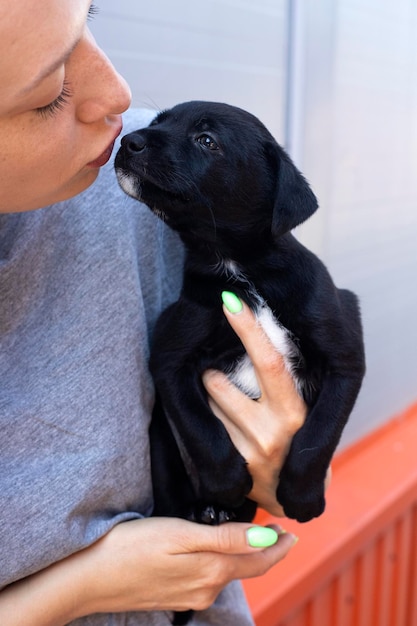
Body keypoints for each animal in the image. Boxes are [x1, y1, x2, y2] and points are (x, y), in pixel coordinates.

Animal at [114, 101, 364, 528]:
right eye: (157, 123)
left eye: (207, 140)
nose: (129, 141)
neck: (238, 268)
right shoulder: (169, 356)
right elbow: (199, 426)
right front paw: (227, 483)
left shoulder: (344, 358)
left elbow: (318, 436)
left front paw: (303, 497)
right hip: (159, 440)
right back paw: (207, 509)